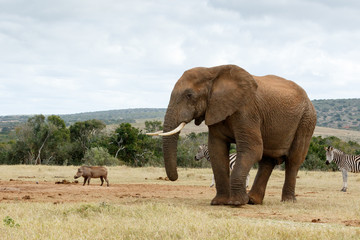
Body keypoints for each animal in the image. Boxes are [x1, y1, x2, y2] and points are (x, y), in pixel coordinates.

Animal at [146, 64, 316, 206]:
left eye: (189, 95)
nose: (174, 178)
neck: (213, 72)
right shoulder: (215, 109)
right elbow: (217, 149)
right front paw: (218, 202)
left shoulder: (246, 110)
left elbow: (252, 148)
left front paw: (236, 203)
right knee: (268, 160)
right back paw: (253, 201)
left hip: (306, 120)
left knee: (293, 160)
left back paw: (287, 201)